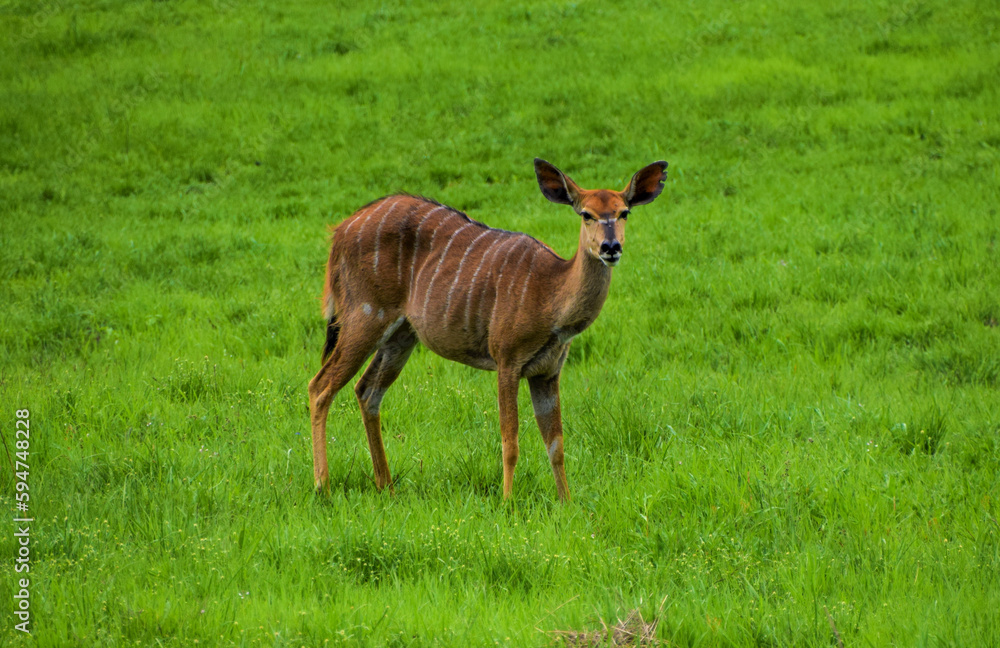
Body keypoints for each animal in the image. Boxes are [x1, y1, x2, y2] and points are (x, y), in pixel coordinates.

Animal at [308, 158, 668, 501]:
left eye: (624, 212)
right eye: (586, 214)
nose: (611, 247)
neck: (551, 299)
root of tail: (338, 233)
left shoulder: (548, 371)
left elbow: (556, 443)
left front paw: (566, 503)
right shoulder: (507, 358)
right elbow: (510, 441)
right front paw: (508, 503)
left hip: (401, 336)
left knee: (367, 391)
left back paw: (387, 487)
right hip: (364, 316)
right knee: (320, 386)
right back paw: (323, 486)